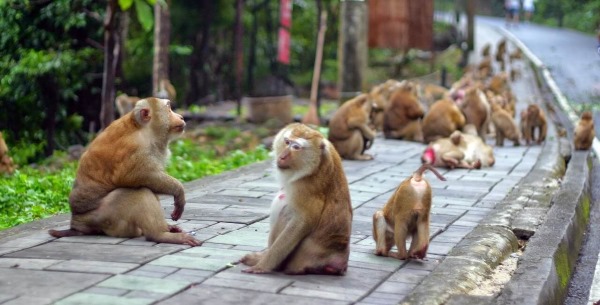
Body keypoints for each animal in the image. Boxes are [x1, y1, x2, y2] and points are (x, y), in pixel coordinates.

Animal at [47, 97, 202, 245]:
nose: (181, 116)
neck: (143, 129)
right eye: (169, 108)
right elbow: (134, 177)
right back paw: (160, 235)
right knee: (139, 193)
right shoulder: (136, 148)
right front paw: (179, 191)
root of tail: (77, 224)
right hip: (104, 217)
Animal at [239, 122, 352, 274]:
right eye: (287, 142)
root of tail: (340, 261)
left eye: (296, 147)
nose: (282, 156)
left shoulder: (305, 187)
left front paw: (262, 266)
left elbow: (302, 221)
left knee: (286, 209)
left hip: (303, 260)